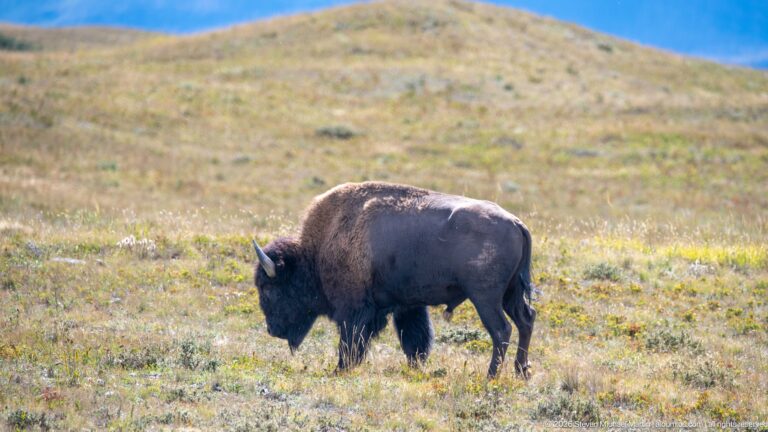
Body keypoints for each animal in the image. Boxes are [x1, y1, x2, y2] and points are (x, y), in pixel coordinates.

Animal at [252, 181, 536, 378]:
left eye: (269, 289)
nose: (272, 330)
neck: (318, 249)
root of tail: (516, 223)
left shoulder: (354, 310)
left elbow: (350, 342)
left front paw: (340, 369)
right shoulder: (407, 306)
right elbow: (414, 340)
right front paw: (414, 367)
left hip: (485, 297)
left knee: (501, 330)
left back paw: (490, 376)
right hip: (510, 294)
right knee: (525, 321)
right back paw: (521, 372)